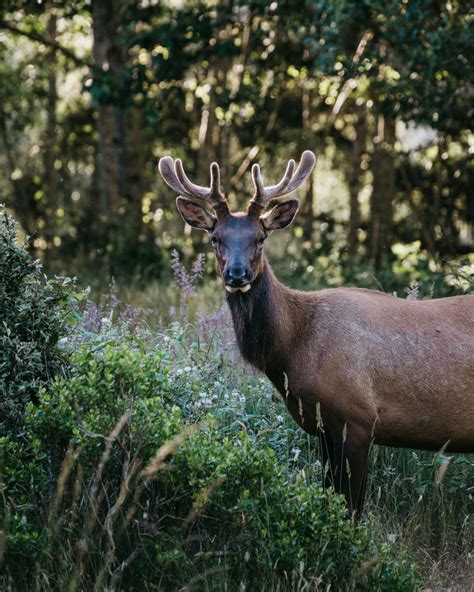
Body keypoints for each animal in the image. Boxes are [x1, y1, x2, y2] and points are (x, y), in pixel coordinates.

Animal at [159, 153, 474, 520]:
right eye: (215, 237)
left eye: (261, 237)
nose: (237, 274)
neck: (293, 350)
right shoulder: (323, 427)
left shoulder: (359, 418)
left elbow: (351, 509)